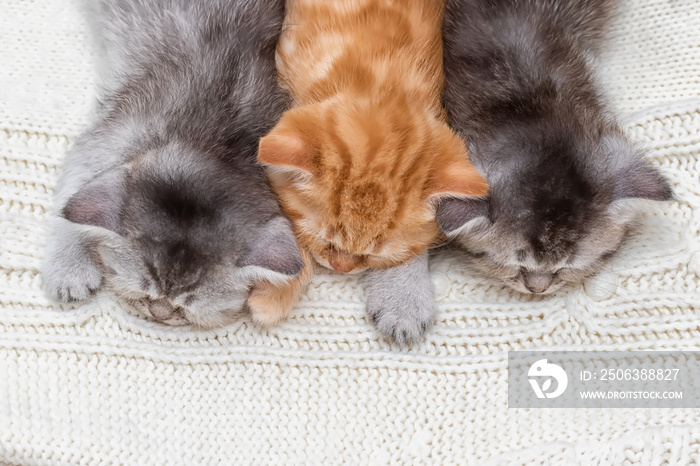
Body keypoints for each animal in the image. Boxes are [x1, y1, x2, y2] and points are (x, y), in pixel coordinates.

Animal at [42, 0, 302, 328]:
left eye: (185, 308)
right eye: (144, 292)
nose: (160, 313)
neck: (211, 139)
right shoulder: (104, 140)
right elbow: (69, 202)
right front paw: (69, 266)